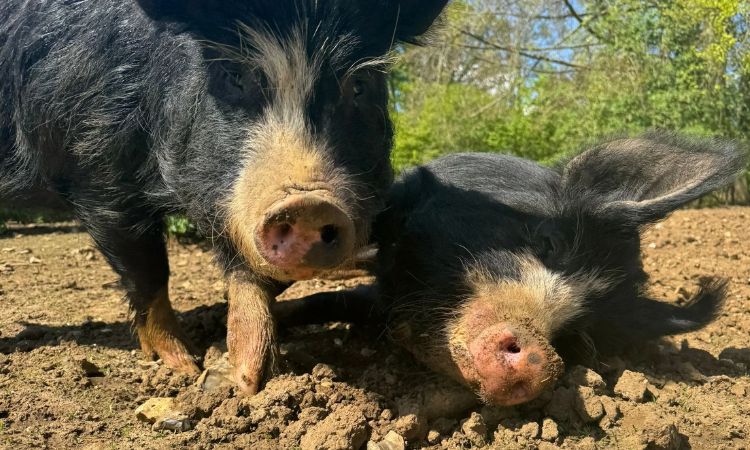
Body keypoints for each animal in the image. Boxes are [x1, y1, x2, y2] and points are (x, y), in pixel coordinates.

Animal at [0, 0, 448, 393]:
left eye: (358, 85)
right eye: (235, 76)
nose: (308, 204)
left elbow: (248, 275)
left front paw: (242, 378)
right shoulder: (96, 174)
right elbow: (149, 272)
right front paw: (185, 366)